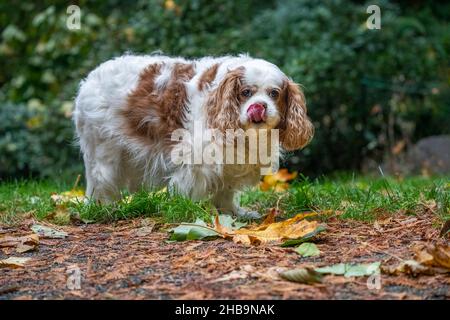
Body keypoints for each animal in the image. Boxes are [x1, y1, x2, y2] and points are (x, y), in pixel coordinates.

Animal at [74, 54, 312, 218]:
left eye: (274, 93)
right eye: (246, 92)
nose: (259, 106)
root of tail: (89, 79)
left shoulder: (229, 165)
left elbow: (225, 191)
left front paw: (232, 213)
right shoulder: (197, 161)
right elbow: (191, 190)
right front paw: (194, 212)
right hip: (104, 153)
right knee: (101, 182)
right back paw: (104, 208)